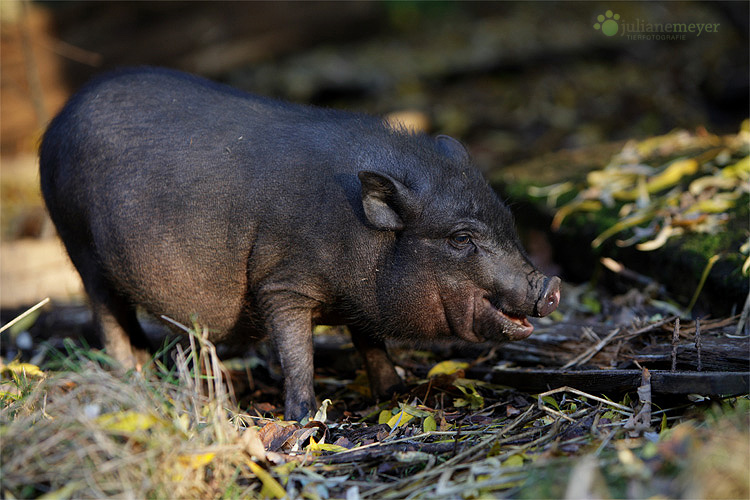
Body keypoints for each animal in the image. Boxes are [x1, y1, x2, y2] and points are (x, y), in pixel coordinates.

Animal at [38, 67, 560, 422]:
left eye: (507, 220)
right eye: (461, 238)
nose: (550, 286)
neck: (357, 236)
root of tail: (57, 121)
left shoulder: (357, 302)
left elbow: (370, 343)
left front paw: (393, 391)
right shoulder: (281, 283)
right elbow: (297, 351)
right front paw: (305, 415)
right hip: (79, 245)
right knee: (108, 315)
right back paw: (134, 376)